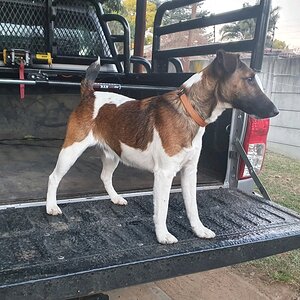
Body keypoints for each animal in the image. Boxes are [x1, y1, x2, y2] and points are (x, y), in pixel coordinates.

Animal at [45, 49, 278, 244]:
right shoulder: (165, 174)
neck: (188, 110)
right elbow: (163, 208)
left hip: (113, 154)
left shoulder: (189, 172)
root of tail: (90, 93)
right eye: (249, 79)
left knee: (105, 176)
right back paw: (51, 206)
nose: (275, 111)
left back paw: (115, 198)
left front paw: (199, 230)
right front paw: (163, 235)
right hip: (71, 151)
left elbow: (193, 207)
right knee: (54, 177)